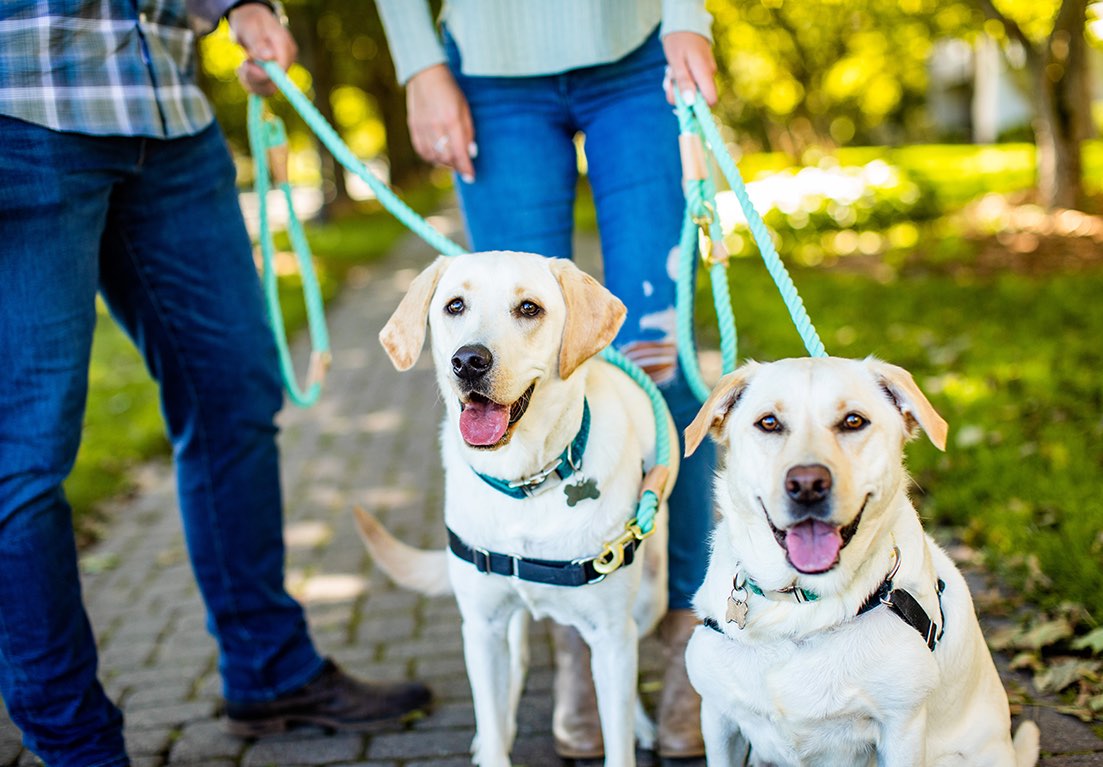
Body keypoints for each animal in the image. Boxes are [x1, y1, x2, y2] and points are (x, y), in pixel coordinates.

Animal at [357, 251, 675, 767]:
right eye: (454, 305)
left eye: (529, 309)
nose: (468, 361)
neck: (523, 483)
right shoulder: (481, 628)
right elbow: (491, 714)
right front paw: (493, 739)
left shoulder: (611, 634)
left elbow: (619, 738)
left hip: (649, 599)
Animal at [683, 359, 1036, 767]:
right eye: (768, 423)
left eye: (853, 421)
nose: (807, 484)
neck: (801, 606)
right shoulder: (718, 717)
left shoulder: (902, 728)